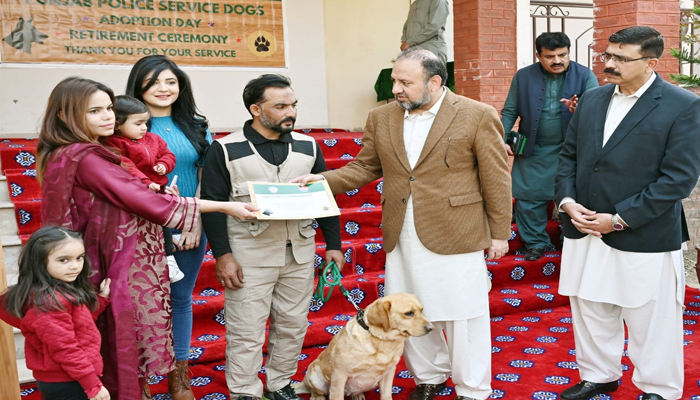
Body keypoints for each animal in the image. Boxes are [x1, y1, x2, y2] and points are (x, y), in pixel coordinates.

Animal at [294, 292, 432, 400]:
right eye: (409, 313)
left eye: (421, 310)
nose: (431, 328)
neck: (381, 340)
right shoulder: (339, 375)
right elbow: (337, 396)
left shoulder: (389, 373)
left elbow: (386, 395)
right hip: (315, 377)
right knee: (314, 389)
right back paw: (317, 396)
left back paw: (357, 395)